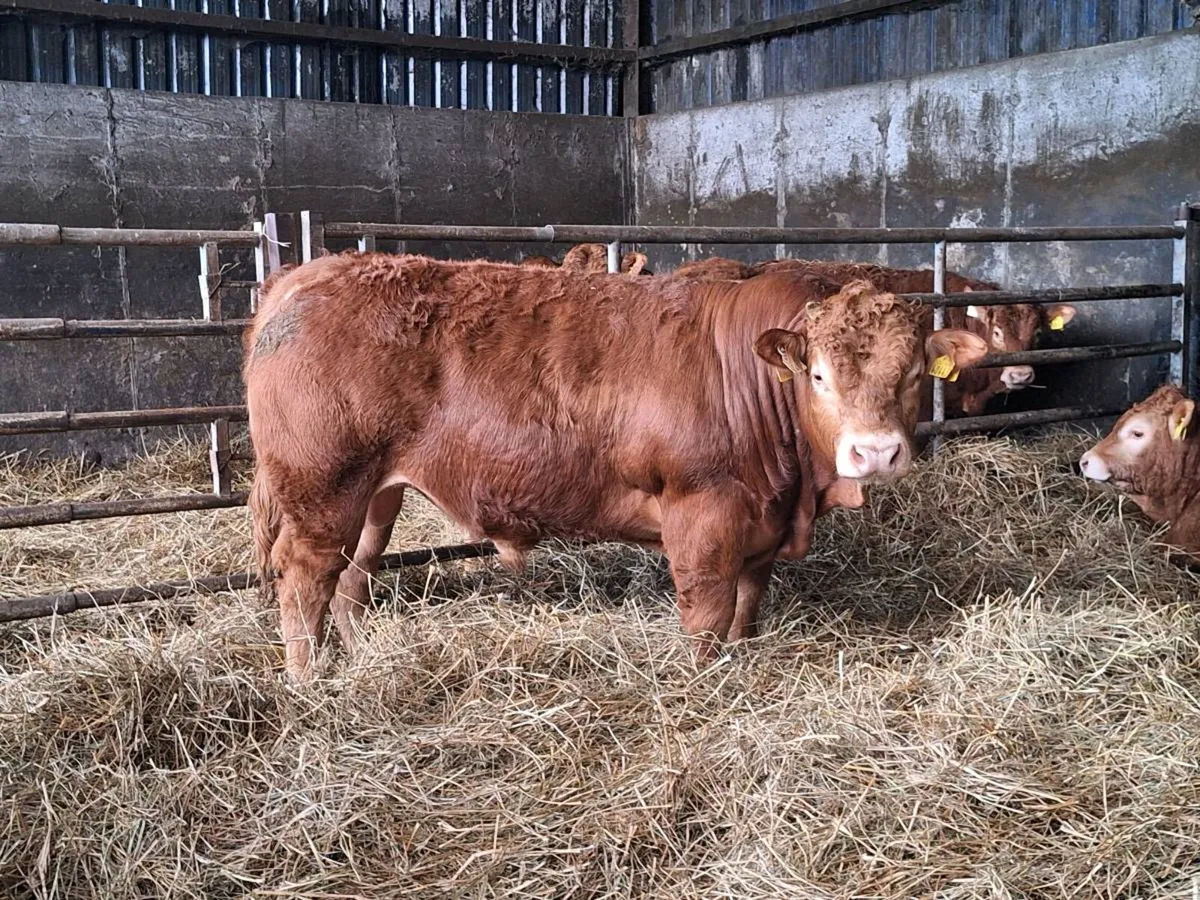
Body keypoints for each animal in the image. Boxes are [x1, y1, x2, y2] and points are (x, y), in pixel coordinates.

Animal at [244, 253, 988, 680]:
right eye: (819, 374)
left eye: (914, 373)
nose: (875, 452)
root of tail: (308, 275)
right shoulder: (702, 517)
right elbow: (707, 618)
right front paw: (705, 685)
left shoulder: (761, 528)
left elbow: (747, 610)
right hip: (322, 489)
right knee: (304, 581)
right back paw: (309, 685)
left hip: (376, 494)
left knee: (352, 578)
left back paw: (360, 659)